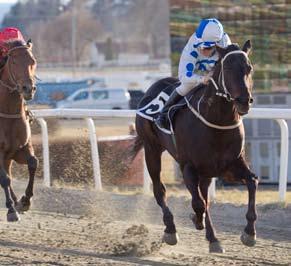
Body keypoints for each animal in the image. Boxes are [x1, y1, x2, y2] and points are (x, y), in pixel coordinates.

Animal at [133, 40, 258, 252]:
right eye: (227, 67)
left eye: (249, 67)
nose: (243, 101)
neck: (217, 122)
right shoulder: (188, 166)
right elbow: (198, 203)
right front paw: (195, 219)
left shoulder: (230, 165)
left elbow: (252, 182)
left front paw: (249, 232)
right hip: (151, 149)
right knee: (160, 190)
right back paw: (171, 229)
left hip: (206, 170)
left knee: (204, 195)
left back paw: (213, 238)